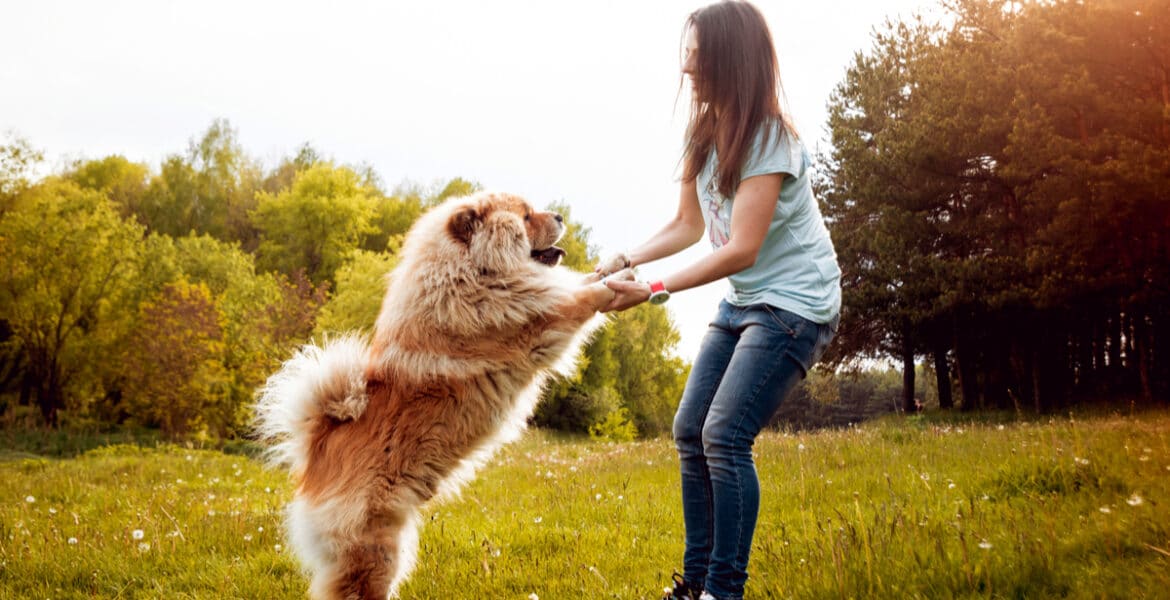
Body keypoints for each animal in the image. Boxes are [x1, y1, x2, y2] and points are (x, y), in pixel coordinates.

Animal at [252, 191, 627, 598]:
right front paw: (623, 283)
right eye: (526, 217)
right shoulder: (542, 319)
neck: (473, 271)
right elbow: (584, 296)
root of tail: (318, 449)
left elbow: (581, 281)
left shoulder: (540, 296)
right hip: (376, 550)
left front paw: (617, 264)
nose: (558, 216)